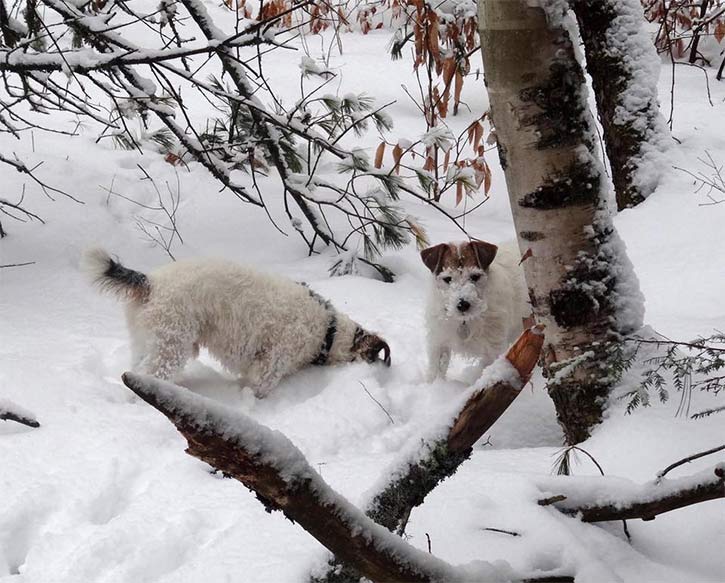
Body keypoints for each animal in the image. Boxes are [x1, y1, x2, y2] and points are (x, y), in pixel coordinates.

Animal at [83, 249, 390, 400]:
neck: (328, 330)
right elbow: (258, 388)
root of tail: (151, 281)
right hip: (171, 345)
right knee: (150, 375)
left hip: (148, 341)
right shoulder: (269, 366)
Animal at [418, 240, 528, 380]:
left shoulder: (493, 348)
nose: (463, 304)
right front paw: (435, 384)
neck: (465, 321)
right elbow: (435, 370)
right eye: (448, 279)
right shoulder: (439, 341)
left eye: (475, 276)